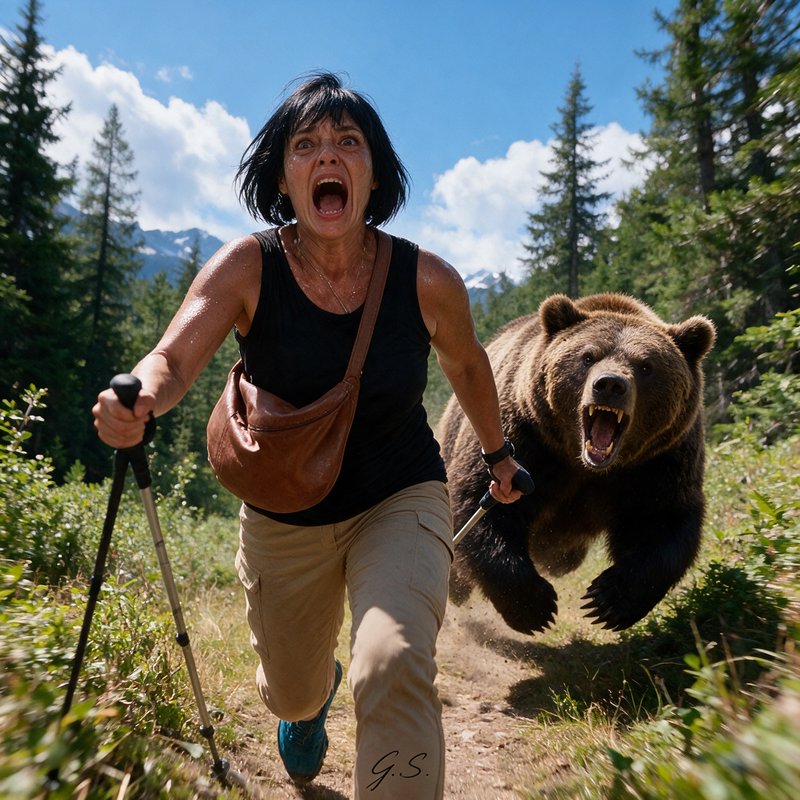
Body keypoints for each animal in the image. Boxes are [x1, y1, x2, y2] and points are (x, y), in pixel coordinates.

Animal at [437, 292, 716, 634]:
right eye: (588, 356)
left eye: (646, 365)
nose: (610, 385)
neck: (586, 466)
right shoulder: (527, 437)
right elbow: (478, 504)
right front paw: (534, 607)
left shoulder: (659, 461)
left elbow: (661, 522)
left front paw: (607, 600)